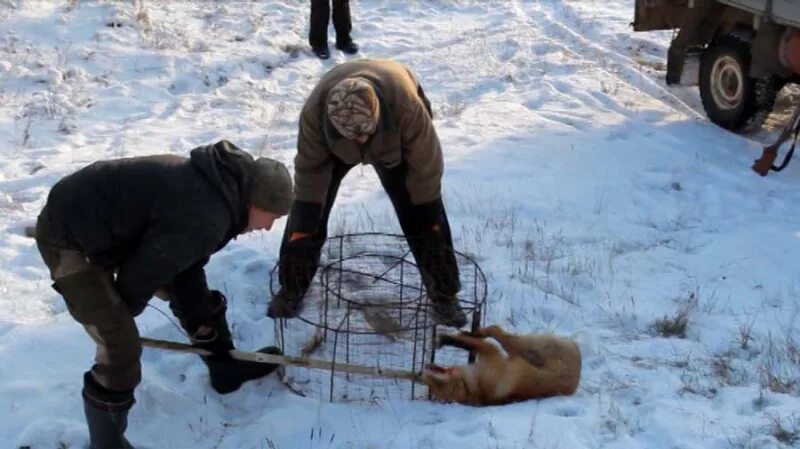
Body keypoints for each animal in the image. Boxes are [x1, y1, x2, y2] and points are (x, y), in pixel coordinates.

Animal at [418, 324, 580, 404]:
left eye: (433, 382)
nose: (421, 373)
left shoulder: (489, 351)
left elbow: (465, 343)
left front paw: (445, 339)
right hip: (517, 348)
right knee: (496, 330)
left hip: (517, 347)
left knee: (494, 330)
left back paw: (473, 332)